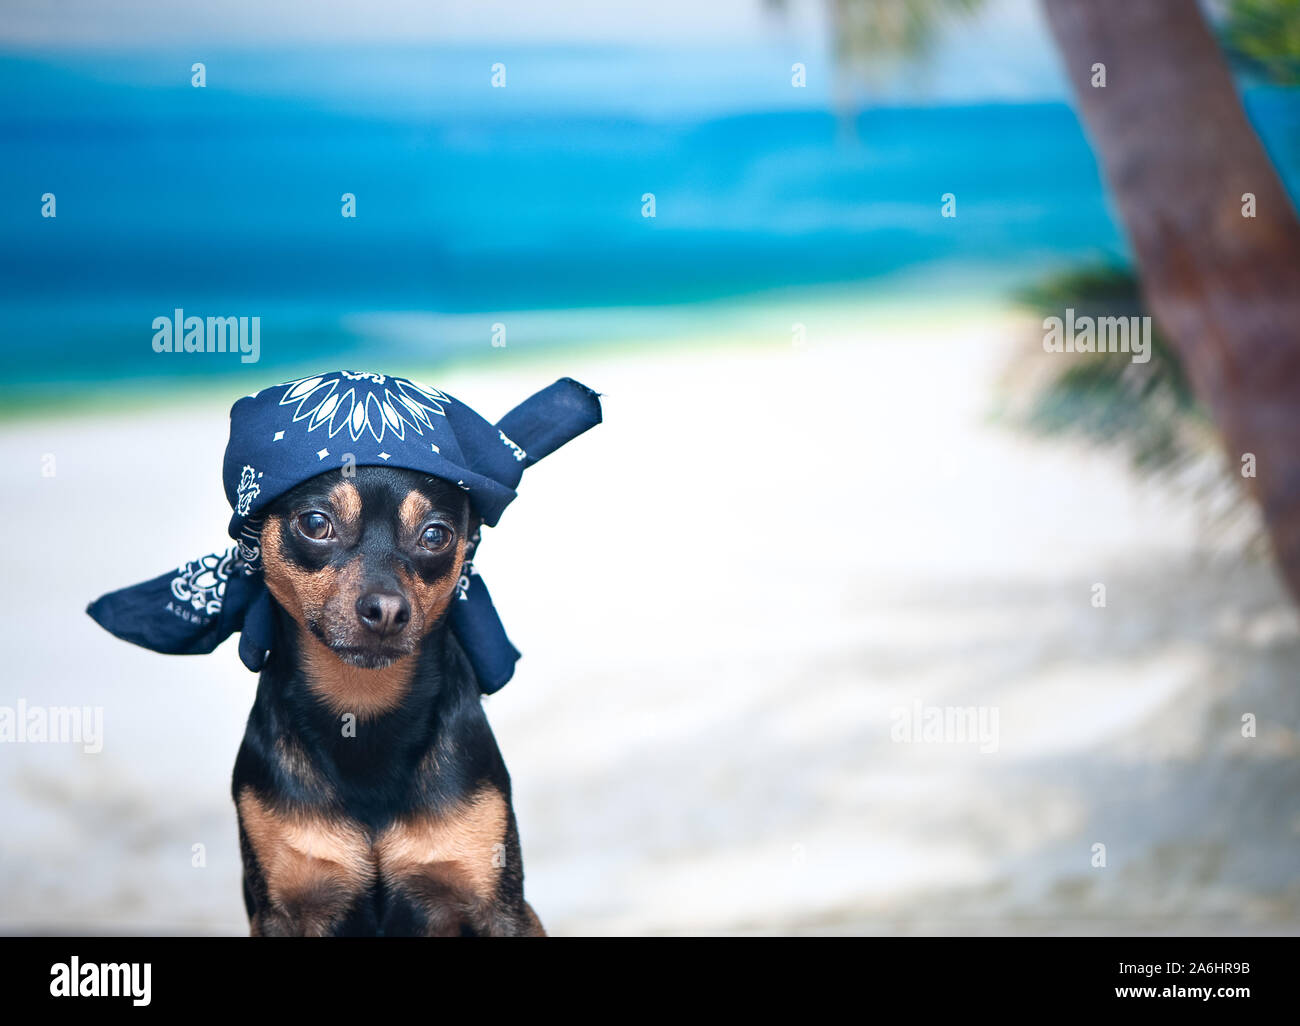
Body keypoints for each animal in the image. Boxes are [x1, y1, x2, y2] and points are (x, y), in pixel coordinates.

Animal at [231, 465, 540, 936]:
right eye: (315, 524)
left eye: (436, 535)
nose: (387, 610)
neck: (363, 711)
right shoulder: (282, 913)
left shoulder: (501, 911)